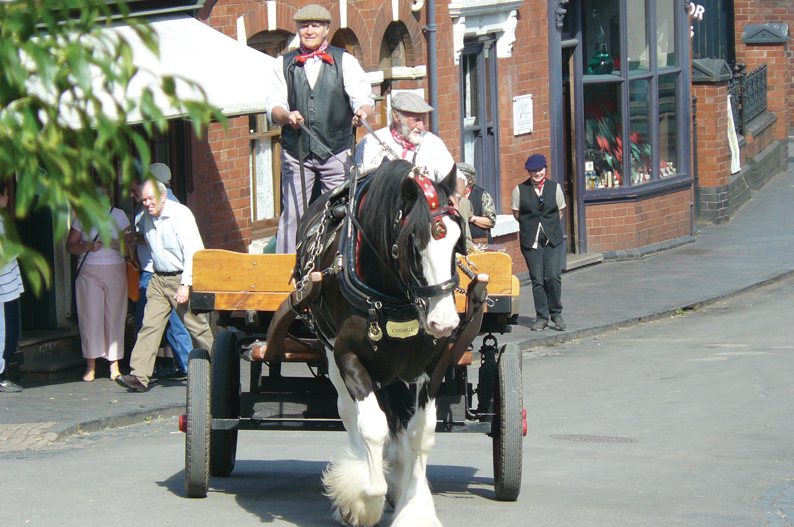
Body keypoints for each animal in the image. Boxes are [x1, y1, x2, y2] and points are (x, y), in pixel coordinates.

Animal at [294, 161, 464, 527]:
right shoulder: (348, 357)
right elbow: (371, 427)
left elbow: (420, 434)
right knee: (350, 413)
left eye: (459, 243)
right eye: (414, 242)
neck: (393, 297)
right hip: (331, 353)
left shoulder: (433, 365)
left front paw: (415, 507)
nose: (444, 323)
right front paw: (360, 499)